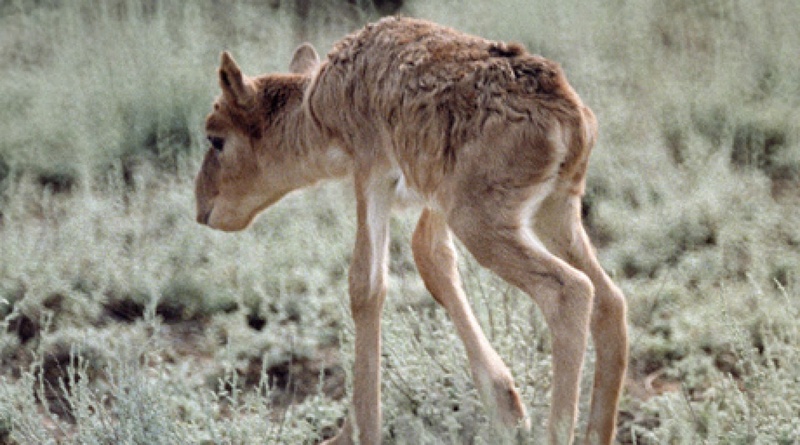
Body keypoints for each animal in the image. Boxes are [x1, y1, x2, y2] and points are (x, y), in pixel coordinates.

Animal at [194, 15, 624, 442]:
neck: (320, 101)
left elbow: (365, 286)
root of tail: (571, 116)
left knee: (571, 292)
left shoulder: (372, 173)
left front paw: (356, 432)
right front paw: (507, 408)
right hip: (554, 211)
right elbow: (431, 260)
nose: (201, 208)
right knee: (609, 298)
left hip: (482, 225)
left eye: (216, 138)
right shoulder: (434, 196)